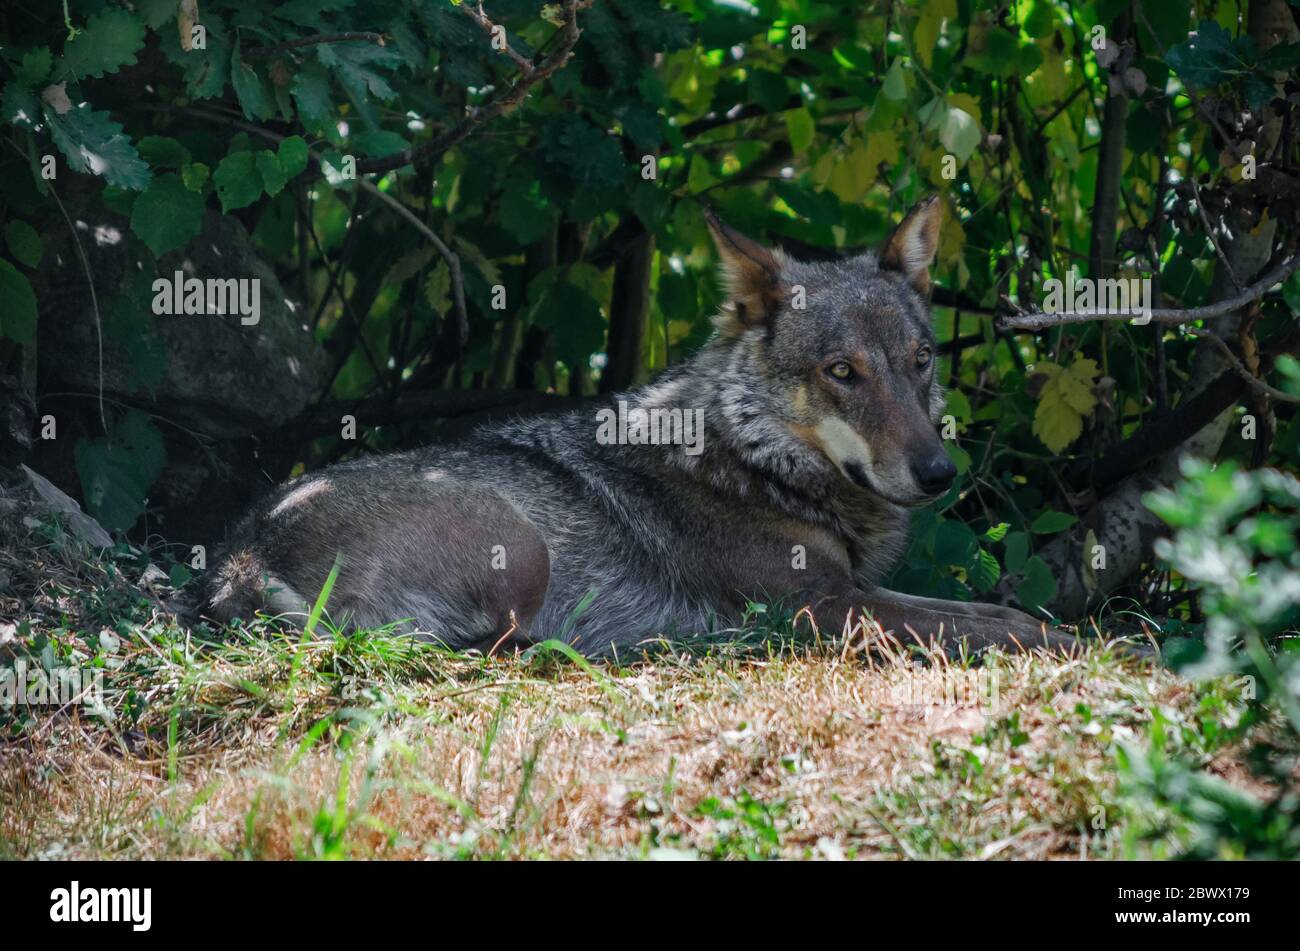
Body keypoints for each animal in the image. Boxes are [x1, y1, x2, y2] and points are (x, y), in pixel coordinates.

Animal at [200, 198, 1076, 659]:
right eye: (842, 372)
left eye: (920, 360)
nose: (938, 474)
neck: (753, 460)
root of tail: (237, 554)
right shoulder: (814, 607)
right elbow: (980, 622)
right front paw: (1074, 639)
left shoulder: (847, 587)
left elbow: (982, 610)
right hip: (523, 552)